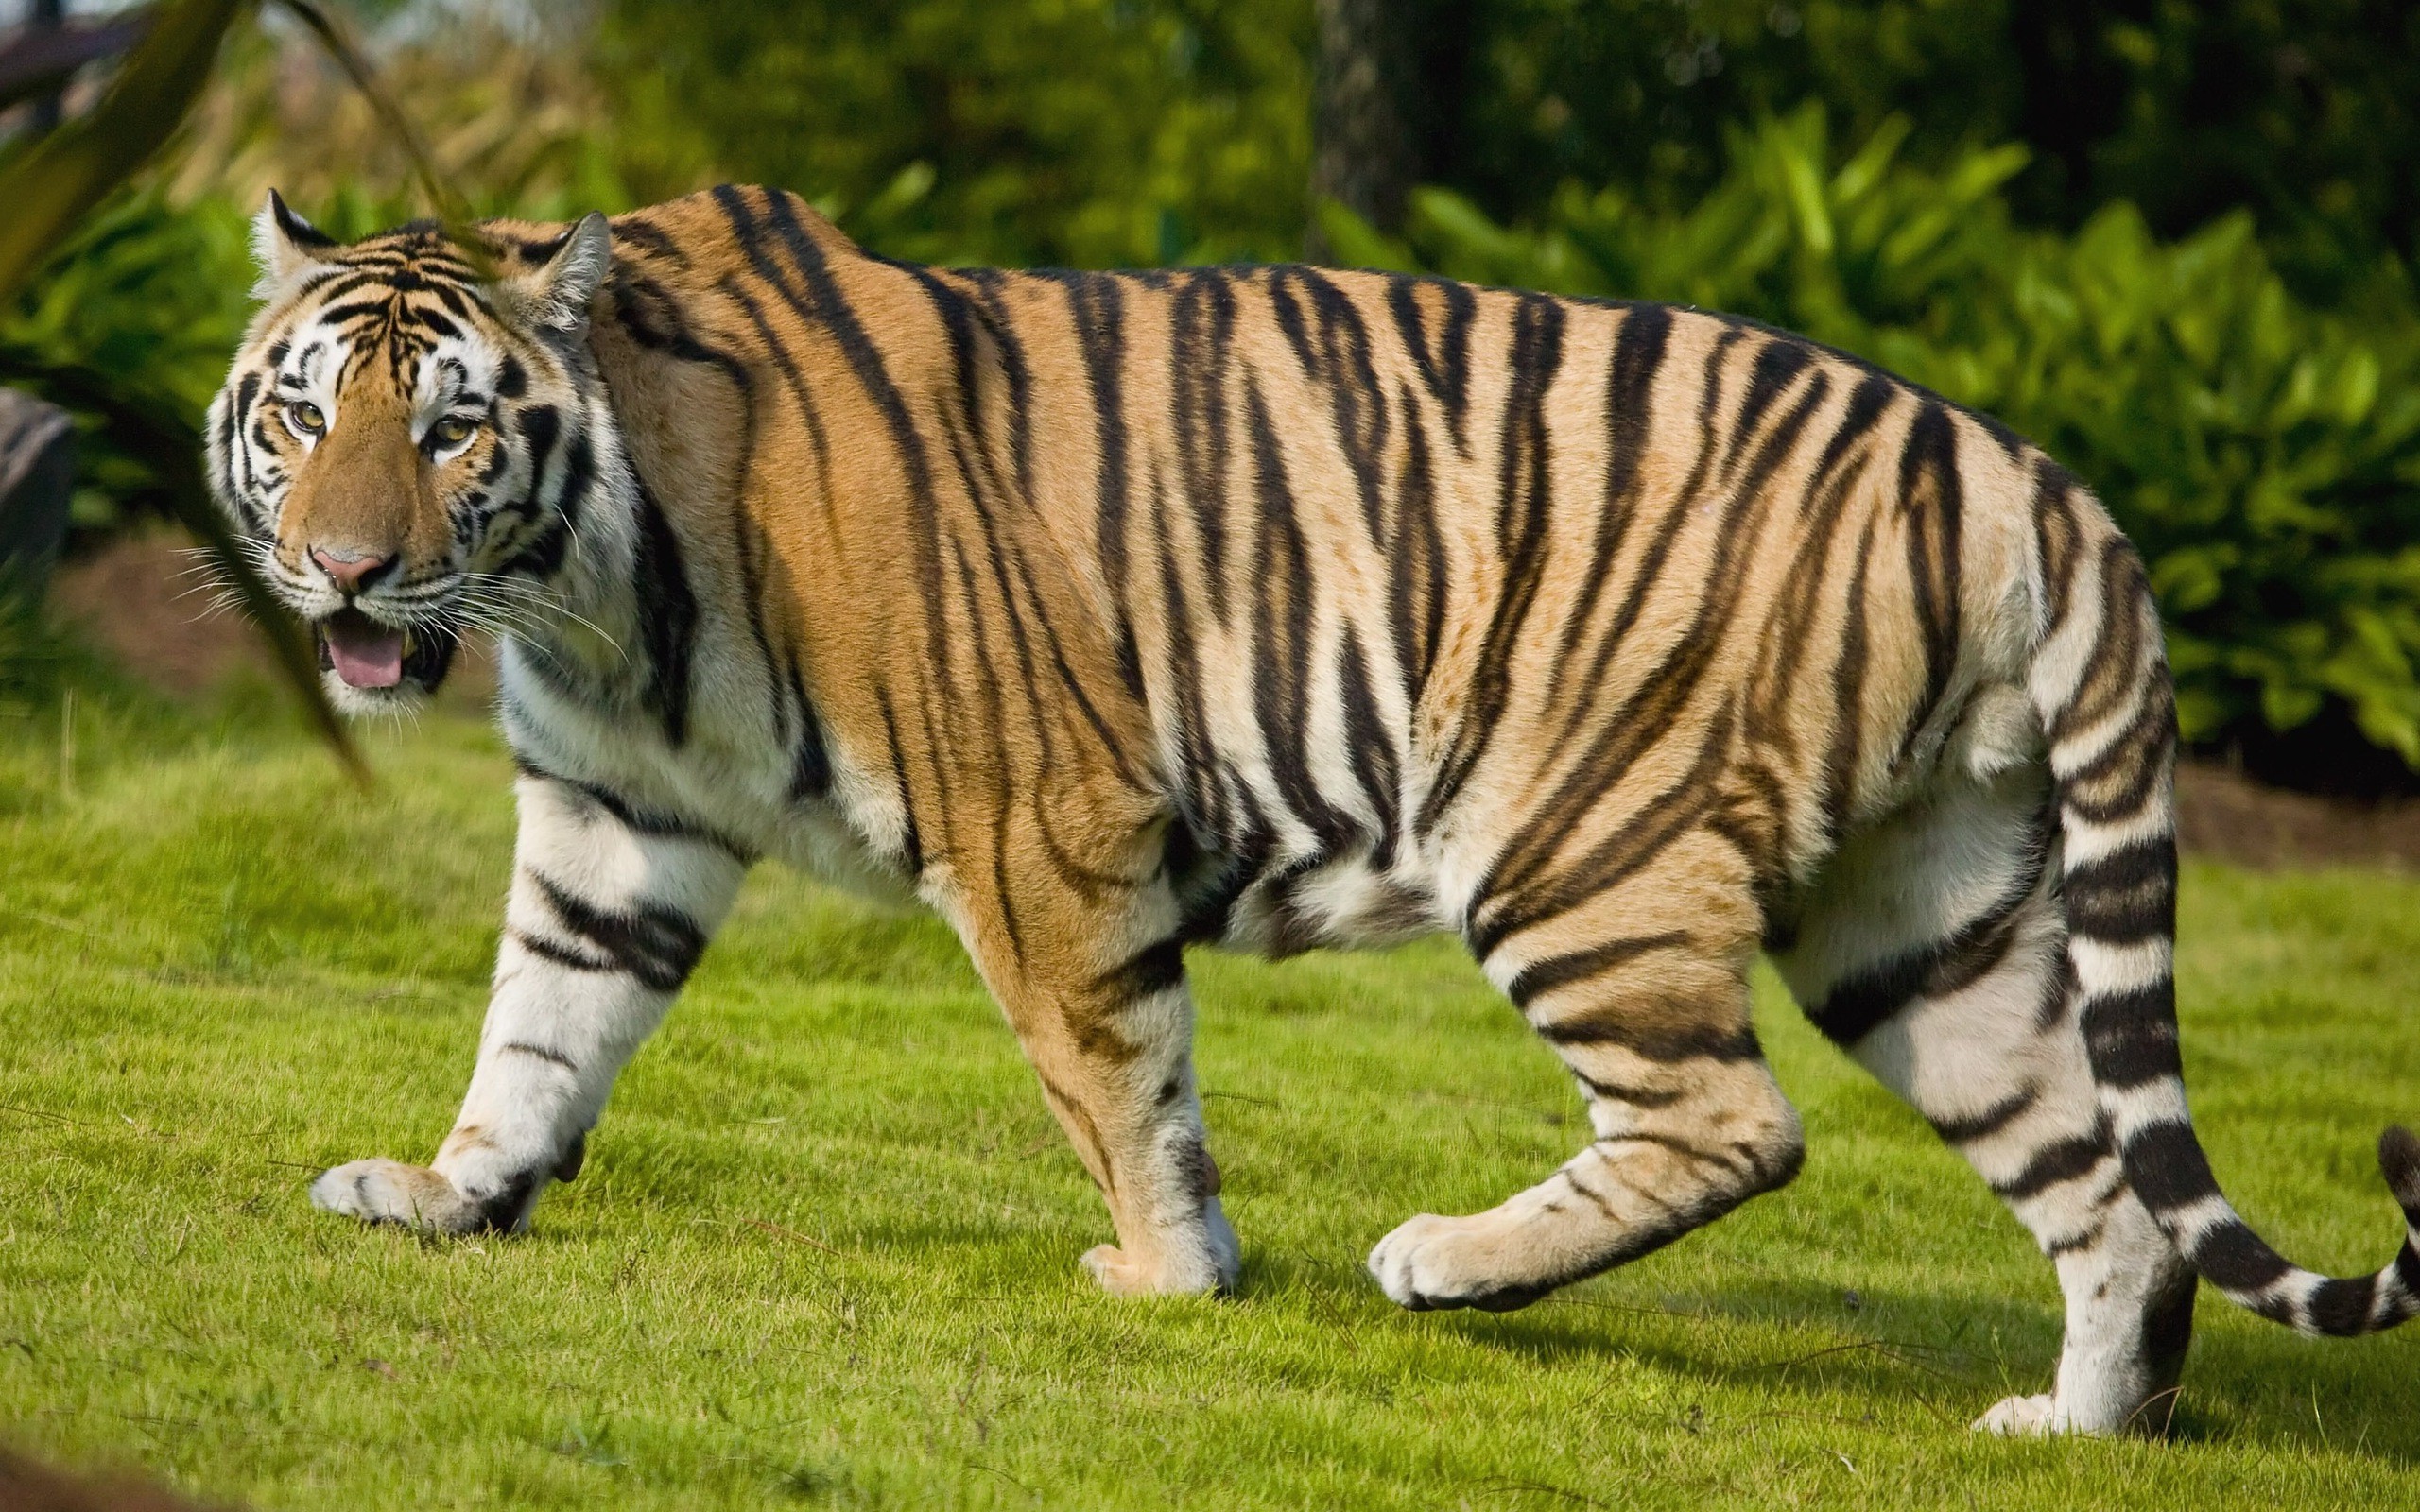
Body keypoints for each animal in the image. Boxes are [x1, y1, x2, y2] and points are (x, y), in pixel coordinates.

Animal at [205, 184, 2420, 1438]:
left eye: (453, 426)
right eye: (306, 414)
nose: (338, 573)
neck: (587, 586)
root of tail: (2023, 466)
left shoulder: (1040, 816)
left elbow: (1111, 1069)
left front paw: (1163, 1277)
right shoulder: (611, 817)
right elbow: (539, 1022)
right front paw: (451, 1190)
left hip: (1574, 838)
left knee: (1735, 1118)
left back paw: (1448, 1260)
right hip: (1926, 909)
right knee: (2103, 1190)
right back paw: (2072, 1424)